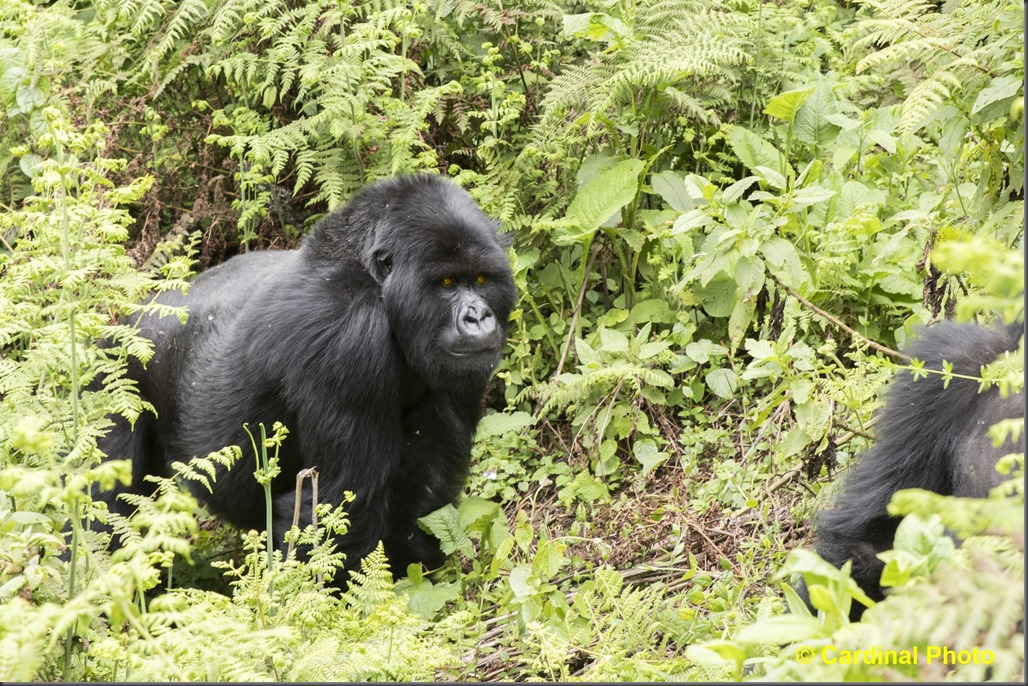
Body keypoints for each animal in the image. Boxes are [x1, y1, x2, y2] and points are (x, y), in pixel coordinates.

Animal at [94, 175, 514, 580]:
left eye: (481, 280)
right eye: (447, 284)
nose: (478, 317)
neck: (375, 285)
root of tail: (134, 311)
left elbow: (423, 491)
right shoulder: (347, 335)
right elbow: (337, 503)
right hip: (115, 365)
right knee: (105, 511)